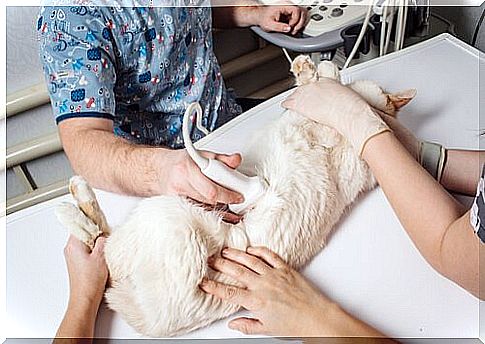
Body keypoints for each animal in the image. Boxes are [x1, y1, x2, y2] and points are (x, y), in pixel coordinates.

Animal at [54, 56, 414, 336]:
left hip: (165, 217)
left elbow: (324, 86)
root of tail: (147, 319)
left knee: (102, 246)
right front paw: (318, 70)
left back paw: (74, 201)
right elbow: (320, 83)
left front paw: (321, 72)